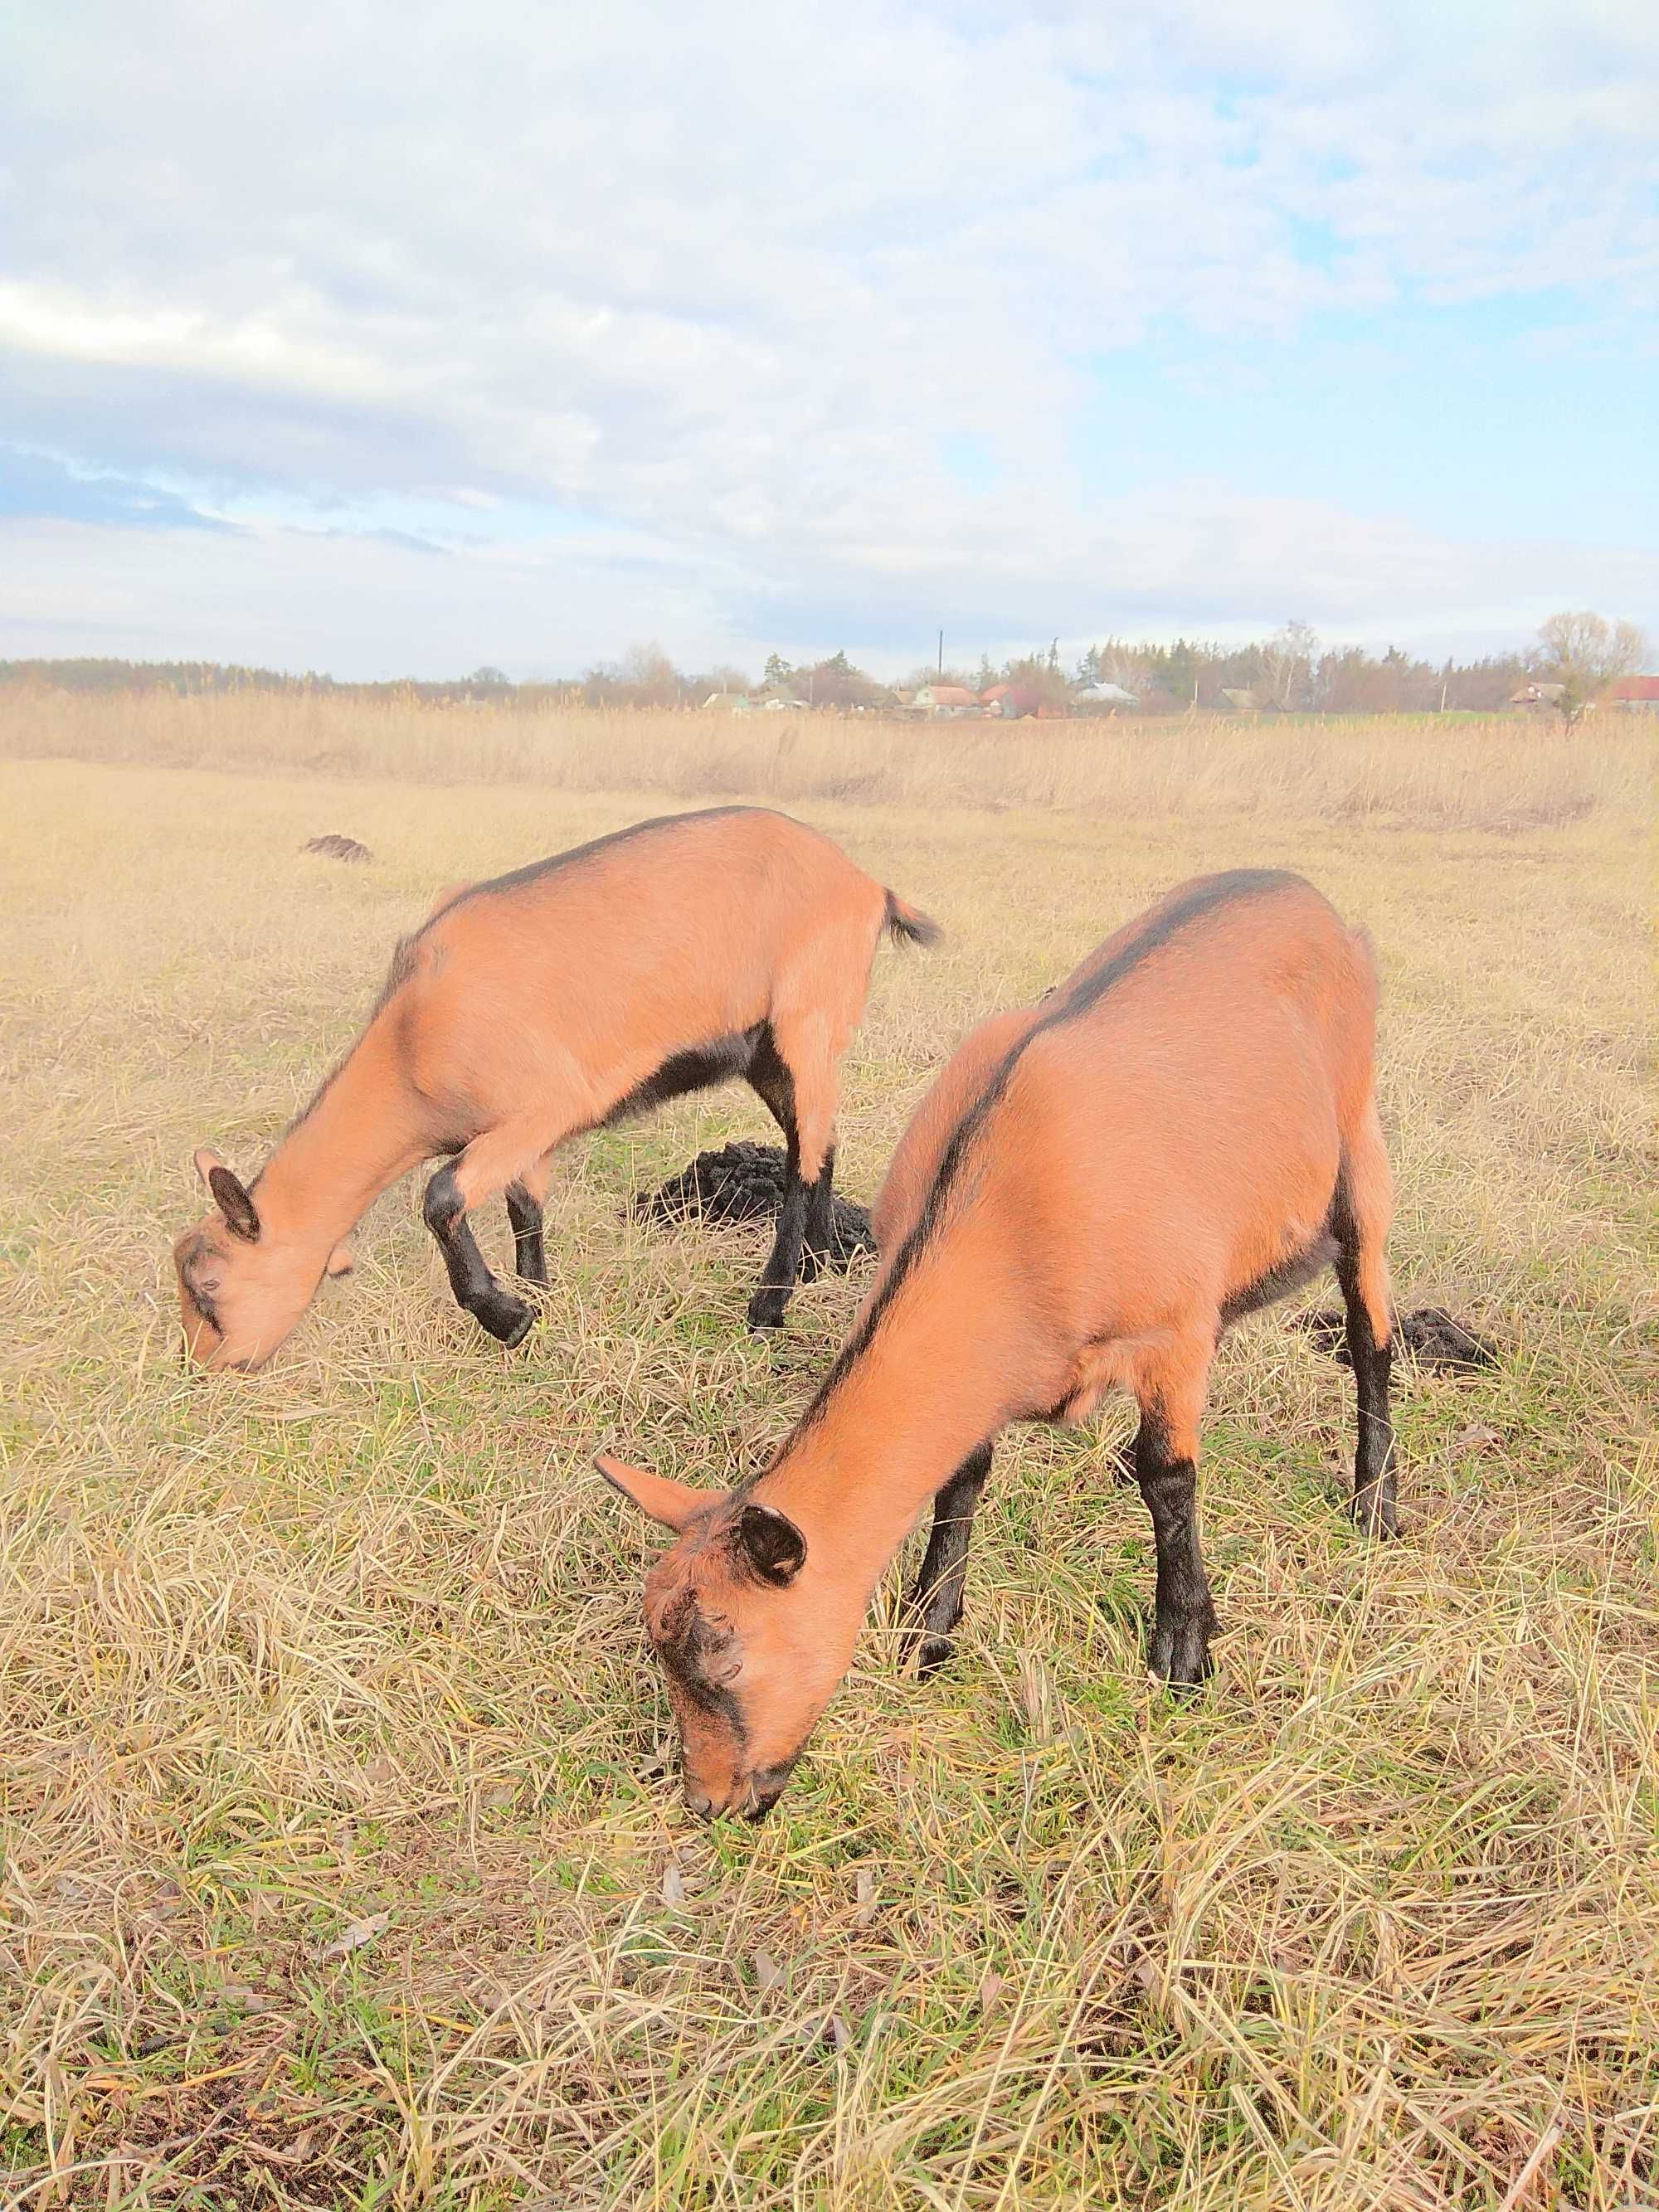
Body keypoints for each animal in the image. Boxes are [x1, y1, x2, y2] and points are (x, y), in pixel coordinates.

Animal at [180, 814, 942, 1362]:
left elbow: (441, 1195)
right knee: (816, 1141)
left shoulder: (542, 1108)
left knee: (805, 1154)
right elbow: (526, 1213)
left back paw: (770, 1304)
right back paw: (820, 1261)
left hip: (808, 1019)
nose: (205, 1367)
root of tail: (868, 885)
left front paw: (509, 1319)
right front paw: (538, 1302)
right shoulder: (527, 1138)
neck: (412, 1036)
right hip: (768, 1052)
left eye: (210, 1286)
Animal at [606, 871, 1398, 1822]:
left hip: (1360, 1143)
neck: (1007, 1212)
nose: (710, 1802)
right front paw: (928, 1628)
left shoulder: (1170, 1330)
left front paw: (1182, 1648)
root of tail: (1300, 891)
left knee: (1369, 1330)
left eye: (721, 1659)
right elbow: (963, 1474)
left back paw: (1376, 1501)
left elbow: (1168, 1480)